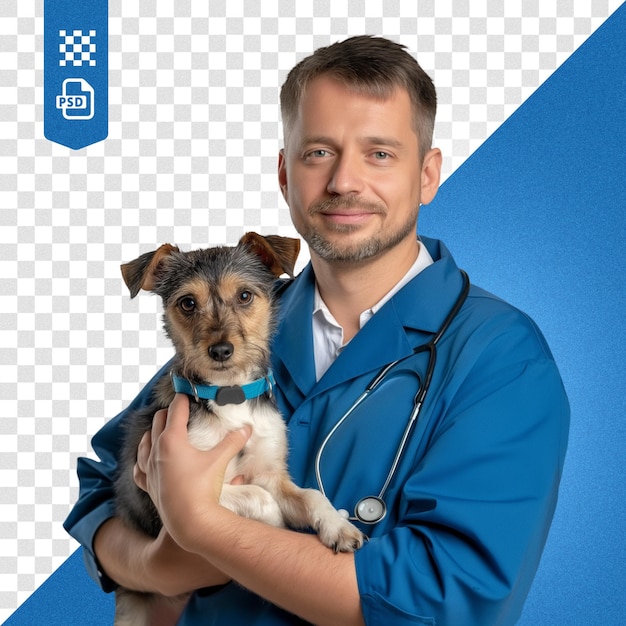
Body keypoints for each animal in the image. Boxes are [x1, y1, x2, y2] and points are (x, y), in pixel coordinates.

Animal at [111, 233, 364, 624]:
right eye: (187, 303)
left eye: (245, 296)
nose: (220, 350)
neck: (230, 396)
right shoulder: (177, 495)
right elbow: (258, 498)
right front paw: (275, 524)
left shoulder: (271, 474)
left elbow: (309, 494)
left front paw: (337, 526)